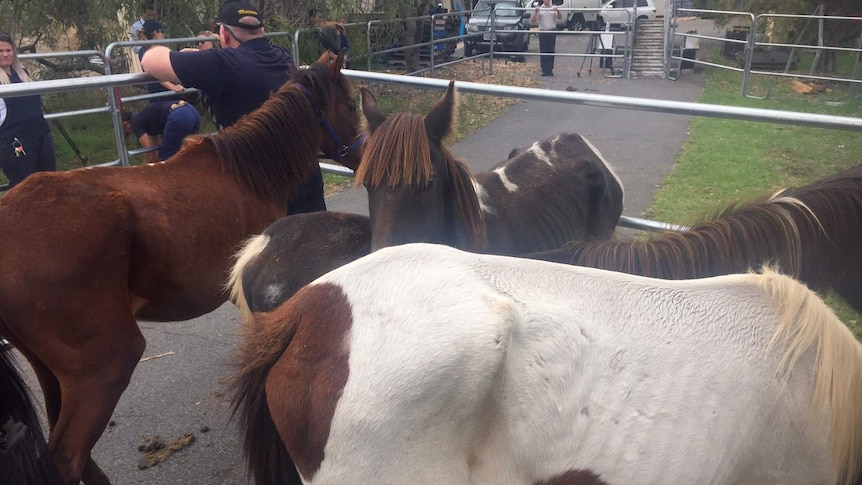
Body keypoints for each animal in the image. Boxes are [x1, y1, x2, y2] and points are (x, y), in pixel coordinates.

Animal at [0, 51, 362, 482]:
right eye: (352, 105)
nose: (364, 155)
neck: (246, 172)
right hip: (104, 367)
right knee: (69, 456)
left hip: (51, 372)